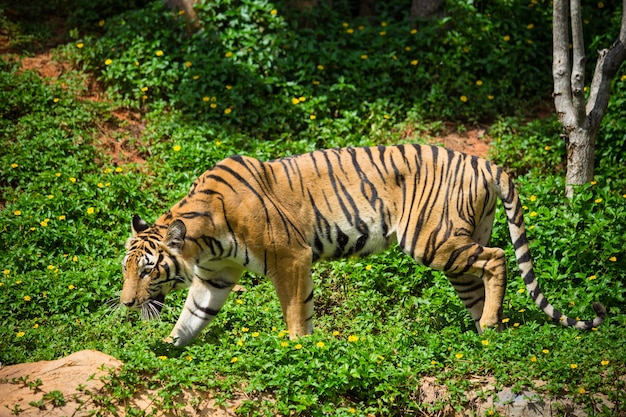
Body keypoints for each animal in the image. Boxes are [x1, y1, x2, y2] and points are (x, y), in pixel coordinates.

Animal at [120, 145, 604, 346]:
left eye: (147, 269)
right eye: (125, 269)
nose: (125, 304)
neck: (204, 243)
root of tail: (485, 161)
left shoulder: (291, 257)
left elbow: (295, 312)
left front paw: (299, 351)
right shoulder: (214, 278)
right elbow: (192, 317)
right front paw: (167, 348)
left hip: (433, 240)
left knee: (499, 258)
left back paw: (488, 326)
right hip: (455, 249)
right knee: (480, 279)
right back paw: (484, 332)